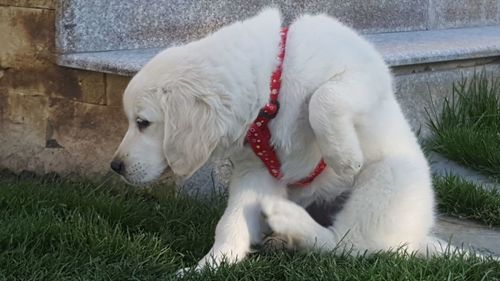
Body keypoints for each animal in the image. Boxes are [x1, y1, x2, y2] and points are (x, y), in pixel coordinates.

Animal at [112, 8, 442, 270]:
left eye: (142, 123)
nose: (115, 166)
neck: (272, 91)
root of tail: (420, 238)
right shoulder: (256, 170)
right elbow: (231, 223)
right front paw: (209, 266)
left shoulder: (363, 71)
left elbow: (324, 97)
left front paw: (344, 158)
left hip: (389, 182)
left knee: (348, 245)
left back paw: (290, 220)